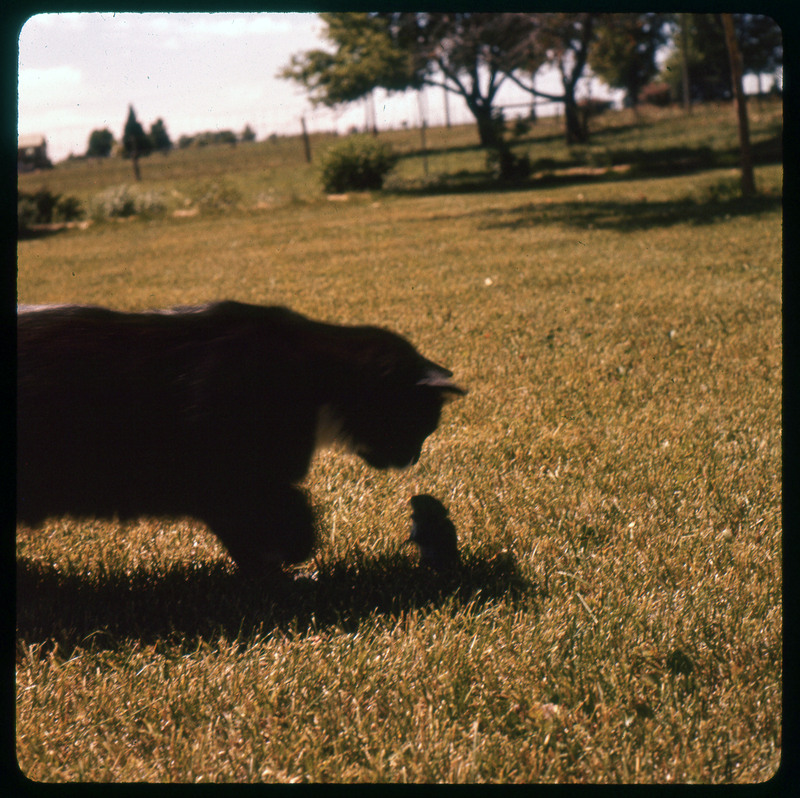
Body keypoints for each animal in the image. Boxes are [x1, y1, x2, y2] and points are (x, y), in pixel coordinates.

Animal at [15, 300, 466, 576]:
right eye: (422, 427)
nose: (413, 459)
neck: (317, 374)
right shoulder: (231, 480)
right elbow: (289, 520)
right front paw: (289, 560)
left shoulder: (238, 490)